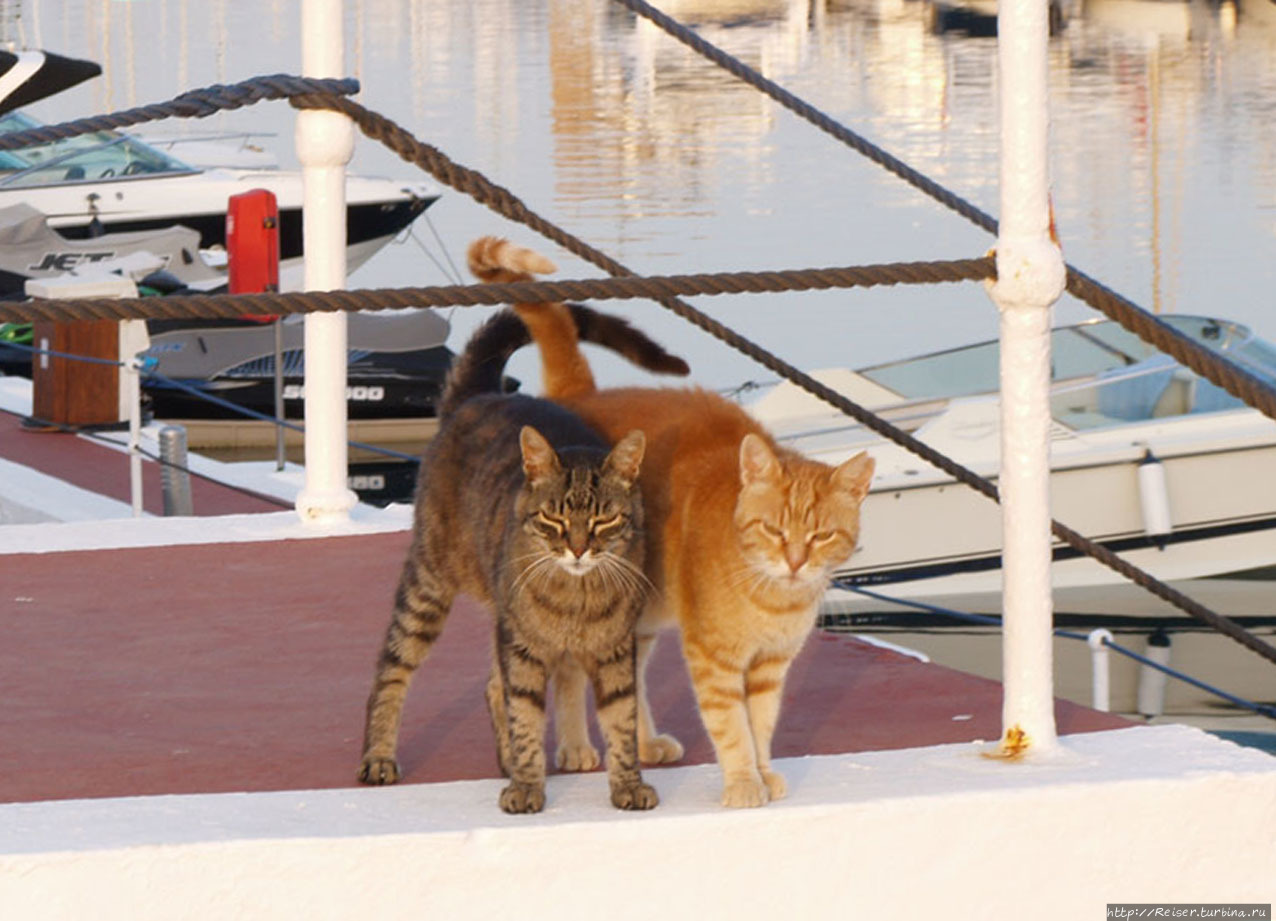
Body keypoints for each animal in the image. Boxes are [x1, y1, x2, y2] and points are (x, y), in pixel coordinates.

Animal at [354, 238, 694, 811]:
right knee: (391, 667)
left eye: (604, 519)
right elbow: (527, 717)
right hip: (428, 585)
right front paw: (527, 786)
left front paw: (627, 785)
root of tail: (476, 396)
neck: (576, 598)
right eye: (554, 517)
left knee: (492, 686)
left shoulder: (614, 651)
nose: (577, 549)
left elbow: (621, 721)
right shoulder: (524, 648)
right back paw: (379, 756)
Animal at [469, 234, 877, 806]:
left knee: (610, 677)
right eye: (774, 529)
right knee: (541, 676)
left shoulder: (770, 669)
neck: (773, 596)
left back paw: (630, 743)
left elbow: (762, 724)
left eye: (820, 536)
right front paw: (744, 782)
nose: (796, 562)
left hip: (635, 615)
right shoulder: (713, 660)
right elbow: (732, 728)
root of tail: (582, 394)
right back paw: (560, 750)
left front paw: (765, 771)